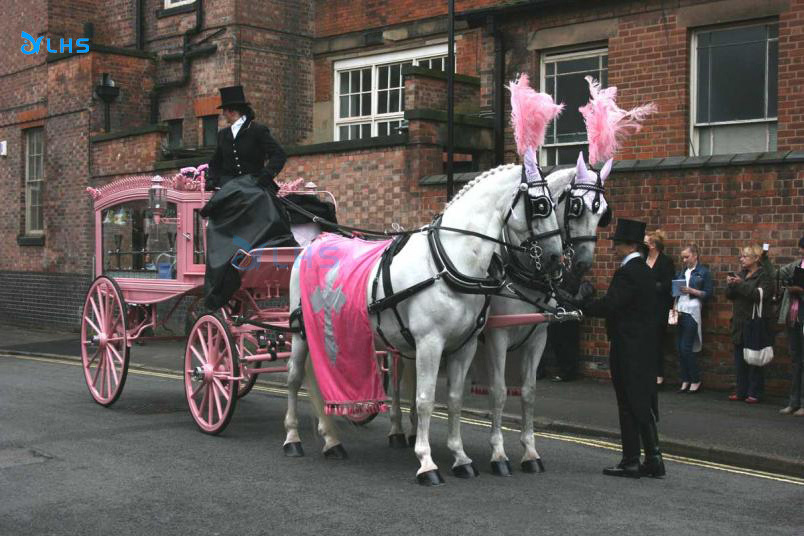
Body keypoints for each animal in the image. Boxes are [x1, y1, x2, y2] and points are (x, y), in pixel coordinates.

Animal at [282, 161, 564, 484]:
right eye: (541, 205)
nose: (556, 258)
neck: (447, 262)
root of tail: (312, 244)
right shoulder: (431, 342)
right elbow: (425, 398)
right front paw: (427, 462)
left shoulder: (464, 346)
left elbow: (454, 399)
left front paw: (460, 457)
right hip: (301, 332)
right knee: (294, 377)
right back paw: (292, 438)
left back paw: (331, 440)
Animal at [478, 153, 608, 476]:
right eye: (576, 207)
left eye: (603, 213)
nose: (583, 263)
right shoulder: (497, 336)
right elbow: (499, 392)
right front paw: (498, 453)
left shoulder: (537, 337)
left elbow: (529, 392)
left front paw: (530, 453)